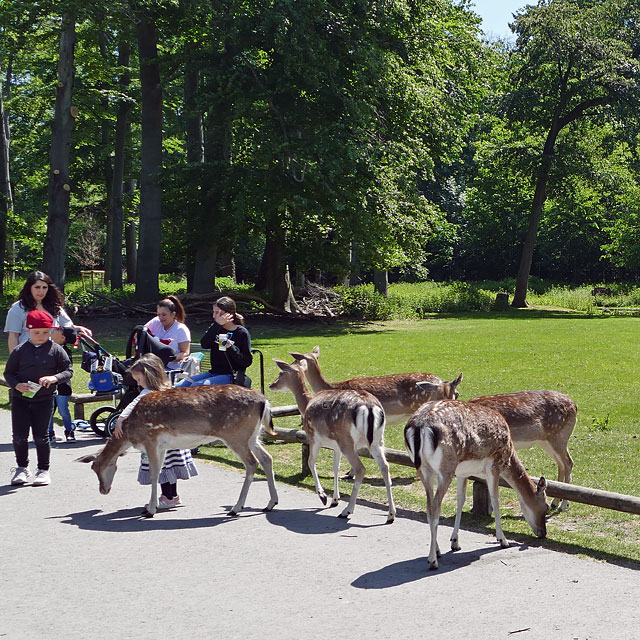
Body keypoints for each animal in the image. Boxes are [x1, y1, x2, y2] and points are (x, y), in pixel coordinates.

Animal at [79, 382, 278, 516]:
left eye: (95, 468)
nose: (103, 490)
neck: (130, 432)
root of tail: (264, 402)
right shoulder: (162, 446)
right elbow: (160, 472)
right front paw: (152, 505)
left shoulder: (151, 439)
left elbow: (153, 473)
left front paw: (150, 509)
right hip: (253, 436)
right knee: (267, 458)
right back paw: (270, 503)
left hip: (236, 435)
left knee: (252, 463)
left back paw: (236, 508)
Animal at [268, 358, 396, 524]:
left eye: (281, 373)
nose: (271, 384)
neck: (306, 403)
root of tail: (369, 407)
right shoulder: (335, 447)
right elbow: (335, 467)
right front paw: (335, 499)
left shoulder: (313, 437)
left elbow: (310, 462)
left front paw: (323, 496)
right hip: (377, 441)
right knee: (385, 467)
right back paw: (391, 514)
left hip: (347, 441)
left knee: (360, 468)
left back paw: (347, 511)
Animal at [404, 400, 544, 568]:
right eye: (545, 507)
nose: (543, 533)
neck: (508, 454)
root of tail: (419, 425)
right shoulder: (494, 465)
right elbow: (495, 500)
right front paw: (503, 540)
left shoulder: (462, 473)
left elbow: (461, 500)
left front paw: (455, 542)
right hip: (446, 468)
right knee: (436, 506)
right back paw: (433, 560)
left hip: (423, 469)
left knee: (428, 506)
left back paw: (437, 551)